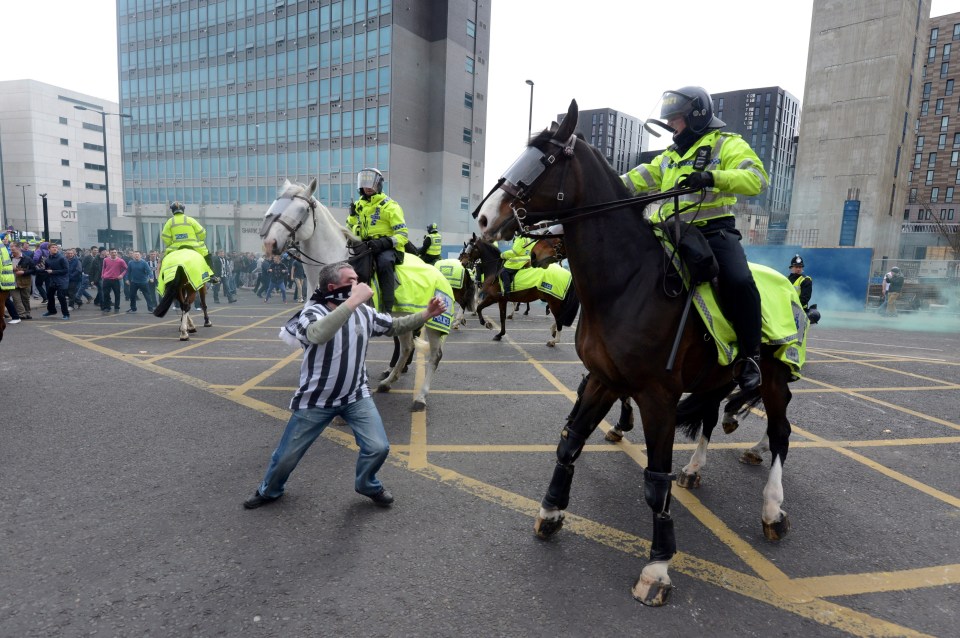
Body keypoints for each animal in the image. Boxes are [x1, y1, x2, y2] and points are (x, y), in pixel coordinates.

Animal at [258, 178, 446, 412]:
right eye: (276, 203)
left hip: (434, 324)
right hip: (403, 316)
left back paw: (421, 396)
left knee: (434, 355)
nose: (269, 243)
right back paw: (387, 382)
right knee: (406, 347)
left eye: (302, 209)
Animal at [472, 101, 796, 608]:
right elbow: (570, 443)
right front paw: (551, 511)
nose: (484, 219)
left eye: (545, 159)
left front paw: (658, 566)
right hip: (715, 377)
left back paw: (771, 509)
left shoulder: (657, 395)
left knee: (780, 433)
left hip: (775, 377)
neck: (627, 284)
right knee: (710, 417)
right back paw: (697, 467)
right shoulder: (603, 379)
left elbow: (655, 478)